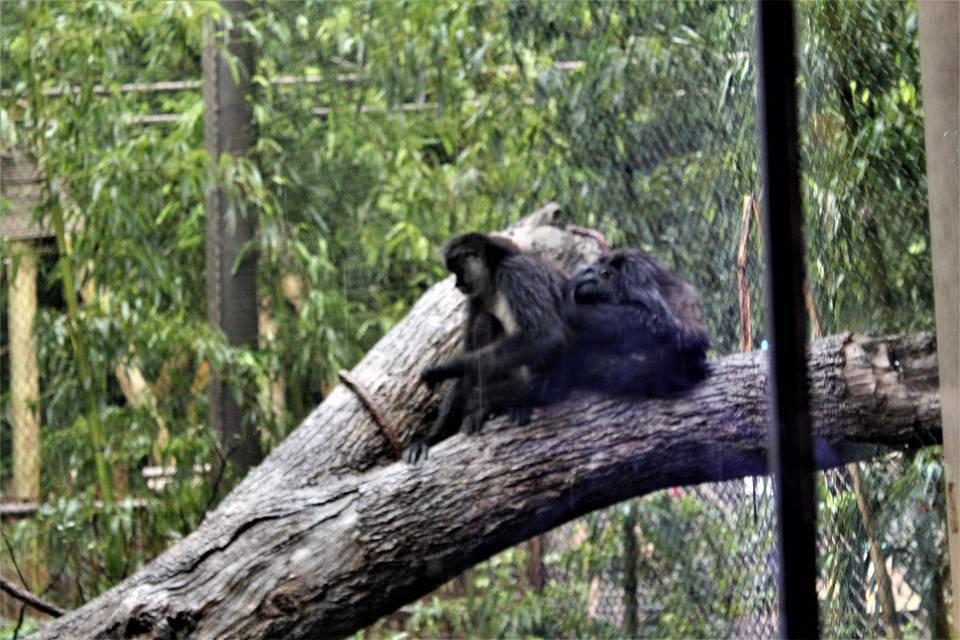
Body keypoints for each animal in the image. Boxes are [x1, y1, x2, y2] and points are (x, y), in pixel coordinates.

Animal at [400, 232, 568, 462]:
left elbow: (548, 337)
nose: (457, 284)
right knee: (484, 321)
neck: (494, 277)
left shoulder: (517, 271)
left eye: (458, 271)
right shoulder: (475, 299)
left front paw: (443, 369)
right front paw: (430, 439)